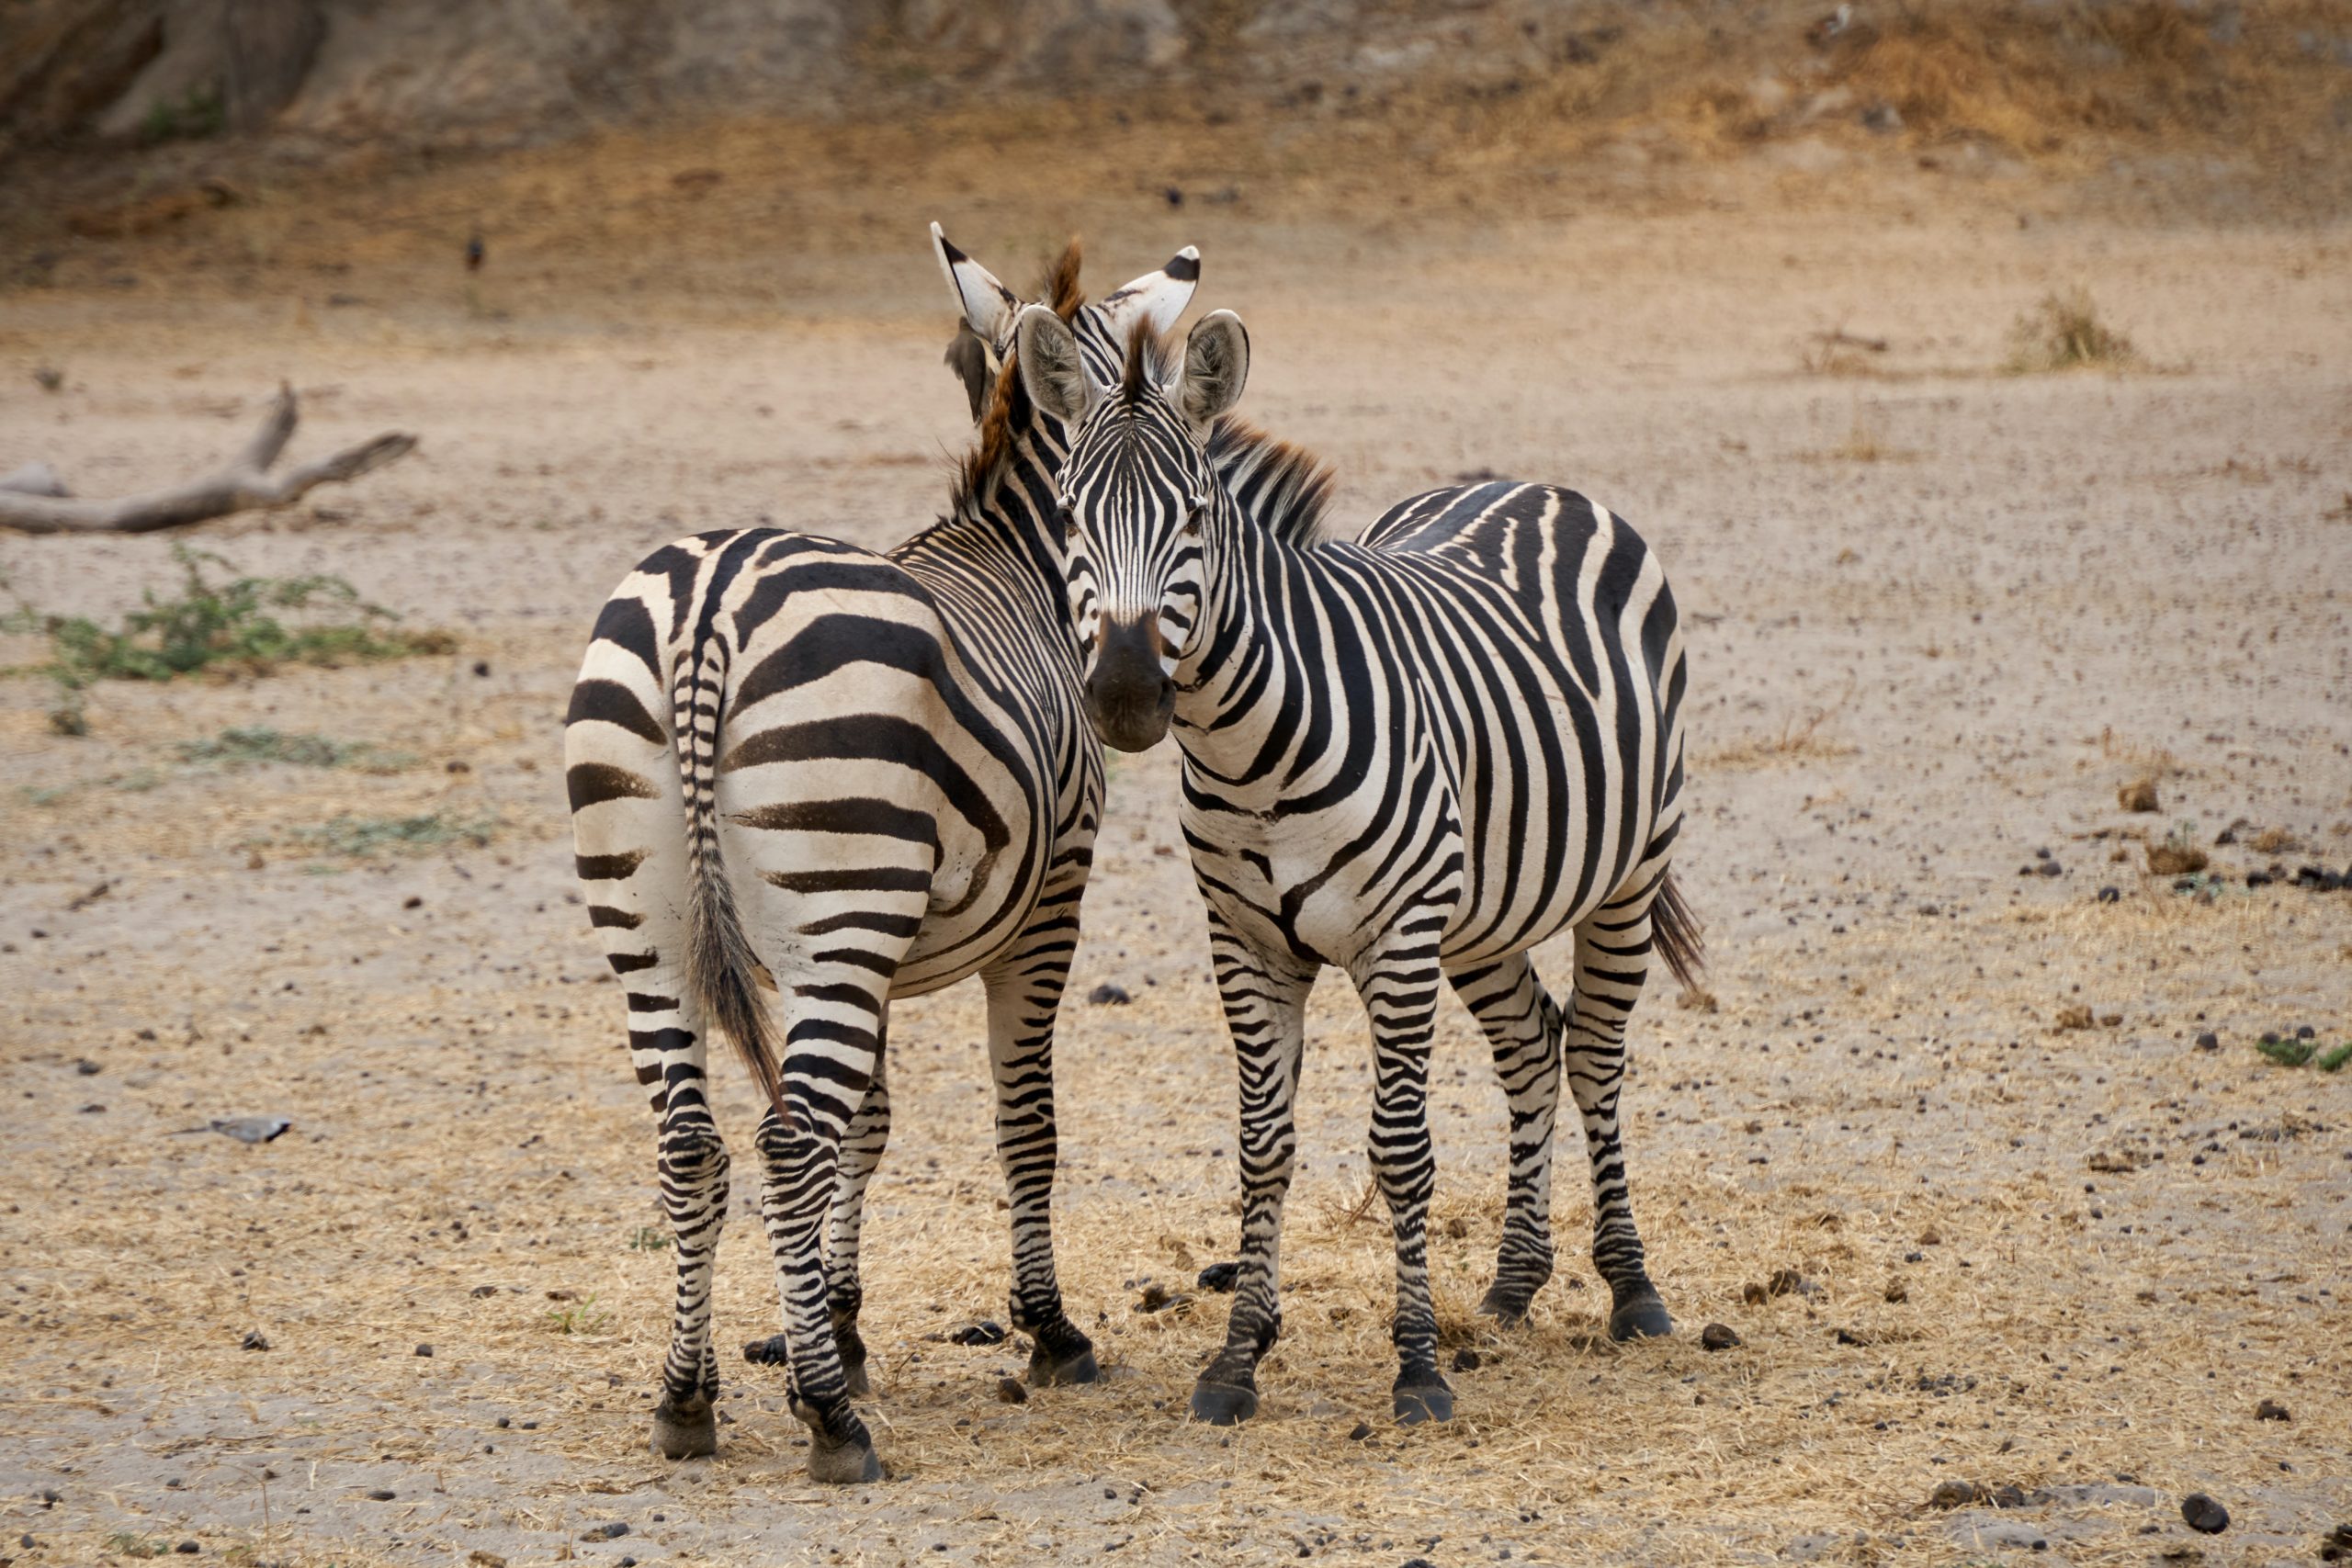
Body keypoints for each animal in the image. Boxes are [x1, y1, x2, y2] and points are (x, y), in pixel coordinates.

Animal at [564, 232, 1213, 1485]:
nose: (1132, 697)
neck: (1023, 564)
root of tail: (708, 601)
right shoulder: (1045, 906)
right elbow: (1023, 1123)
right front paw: (1046, 1331)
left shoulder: (867, 956)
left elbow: (867, 1125)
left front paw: (840, 1321)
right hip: (834, 902)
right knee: (782, 1141)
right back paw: (830, 1424)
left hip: (656, 924)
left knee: (693, 1145)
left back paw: (686, 1400)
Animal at [1015, 300, 1712, 1429]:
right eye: (1070, 521)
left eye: (1195, 519)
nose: (1123, 695)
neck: (1249, 747)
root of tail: (1529, 485)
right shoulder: (1245, 942)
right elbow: (1263, 1147)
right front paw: (1236, 1360)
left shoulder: (1397, 937)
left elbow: (1401, 1150)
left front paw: (1418, 1366)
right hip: (1482, 913)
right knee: (1534, 1046)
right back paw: (1514, 1283)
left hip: (1625, 875)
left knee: (1597, 1056)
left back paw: (1632, 1288)